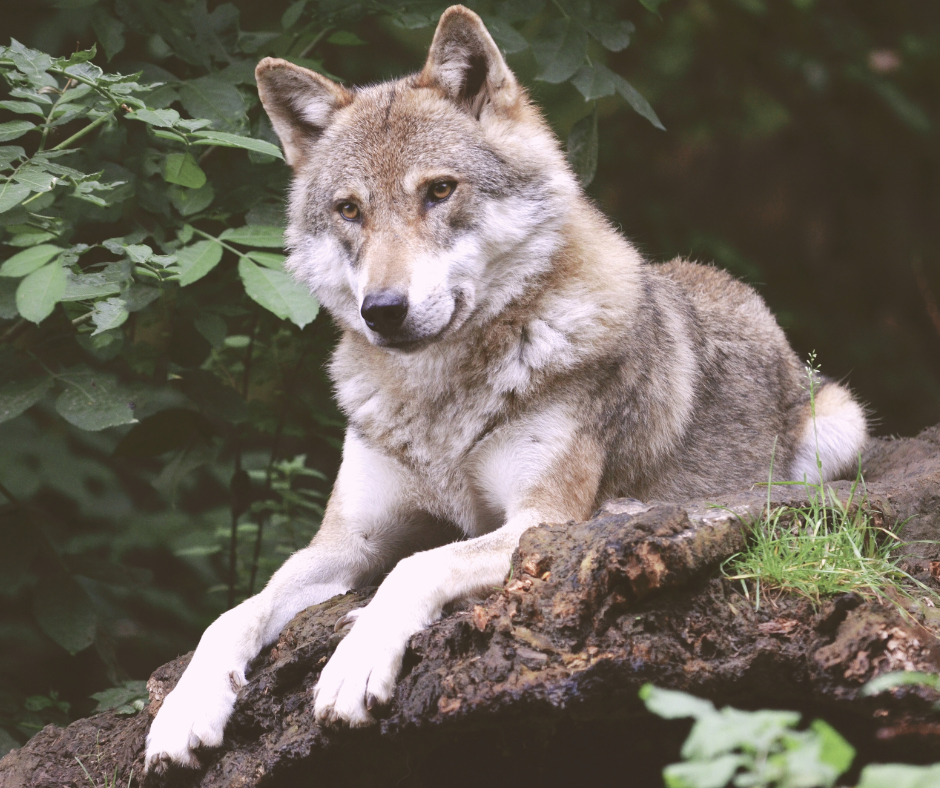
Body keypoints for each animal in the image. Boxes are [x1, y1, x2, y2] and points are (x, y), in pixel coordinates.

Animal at [144, 5, 868, 770]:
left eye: (439, 190)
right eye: (349, 210)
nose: (383, 310)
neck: (439, 402)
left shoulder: (536, 521)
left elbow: (416, 566)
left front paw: (353, 664)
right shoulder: (344, 543)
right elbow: (233, 613)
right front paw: (184, 710)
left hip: (838, 428)